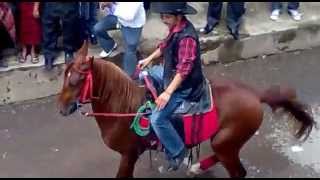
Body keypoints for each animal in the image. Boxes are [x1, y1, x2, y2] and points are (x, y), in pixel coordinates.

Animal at [57, 41, 316, 178]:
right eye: (64, 76)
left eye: (76, 80)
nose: (61, 108)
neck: (124, 108)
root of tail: (255, 95)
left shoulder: (128, 154)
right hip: (225, 142)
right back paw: (196, 166)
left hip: (226, 141)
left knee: (237, 170)